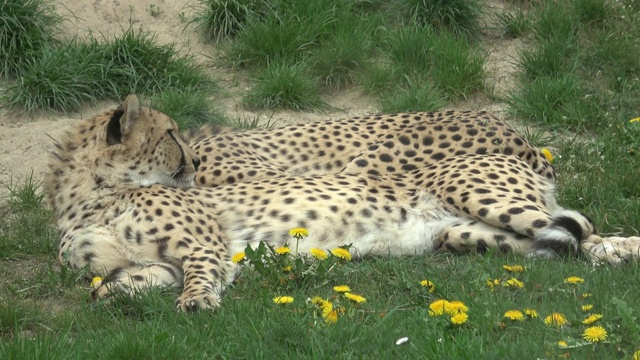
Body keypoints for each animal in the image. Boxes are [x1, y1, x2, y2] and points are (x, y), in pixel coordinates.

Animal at [46, 95, 640, 312]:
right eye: (170, 134)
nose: (191, 160)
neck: (88, 200)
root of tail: (521, 145)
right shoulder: (152, 264)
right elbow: (109, 283)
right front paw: (114, 292)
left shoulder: (207, 245)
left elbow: (198, 275)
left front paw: (196, 303)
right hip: (464, 233)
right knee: (561, 243)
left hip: (478, 192)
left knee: (591, 233)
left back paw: (625, 251)